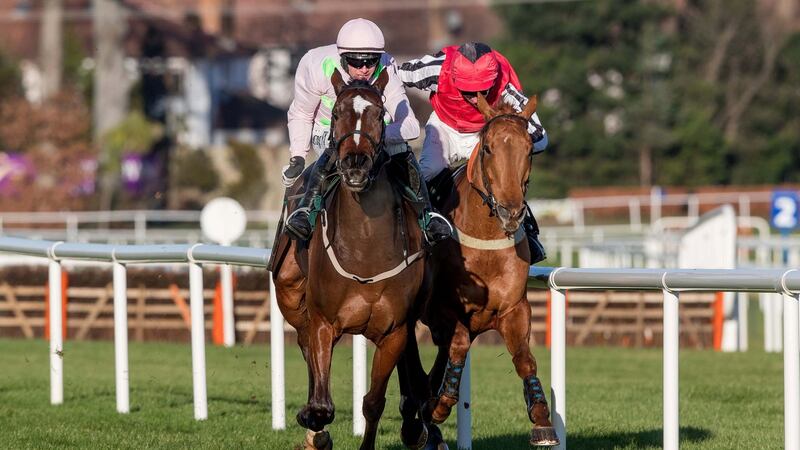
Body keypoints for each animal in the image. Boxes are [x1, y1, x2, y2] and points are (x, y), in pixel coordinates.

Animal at [270, 67, 432, 450]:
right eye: (337, 113)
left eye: (379, 113)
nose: (355, 166)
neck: (365, 250)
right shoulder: (323, 322)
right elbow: (321, 404)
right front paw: (312, 422)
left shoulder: (395, 330)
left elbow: (373, 401)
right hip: (291, 297)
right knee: (304, 347)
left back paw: (414, 422)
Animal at [404, 93, 560, 444]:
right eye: (488, 148)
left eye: (529, 149)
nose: (511, 212)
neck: (485, 240)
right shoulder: (443, 310)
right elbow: (459, 346)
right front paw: (440, 404)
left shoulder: (514, 308)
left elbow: (524, 359)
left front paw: (541, 417)